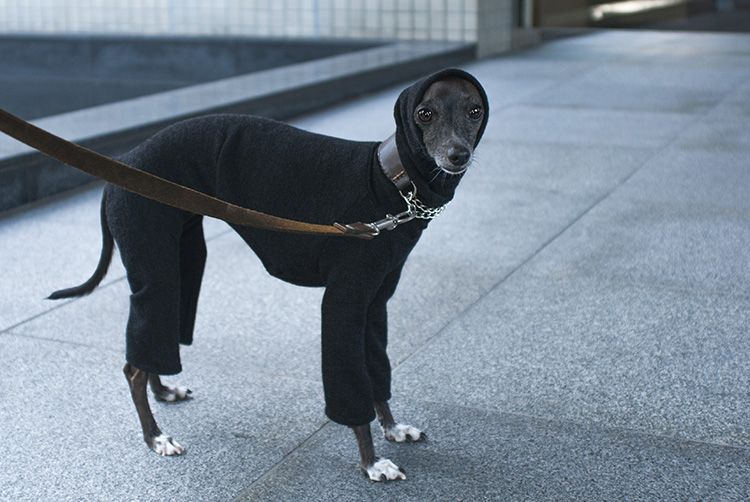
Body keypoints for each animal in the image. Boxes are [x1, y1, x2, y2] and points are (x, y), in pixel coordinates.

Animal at [48, 68, 488, 481]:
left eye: (475, 111)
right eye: (424, 113)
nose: (457, 156)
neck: (390, 183)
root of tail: (123, 167)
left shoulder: (374, 303)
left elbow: (376, 368)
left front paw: (393, 428)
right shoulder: (343, 302)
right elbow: (351, 384)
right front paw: (372, 462)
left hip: (179, 260)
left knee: (152, 343)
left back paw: (164, 391)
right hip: (152, 260)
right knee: (134, 366)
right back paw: (156, 436)